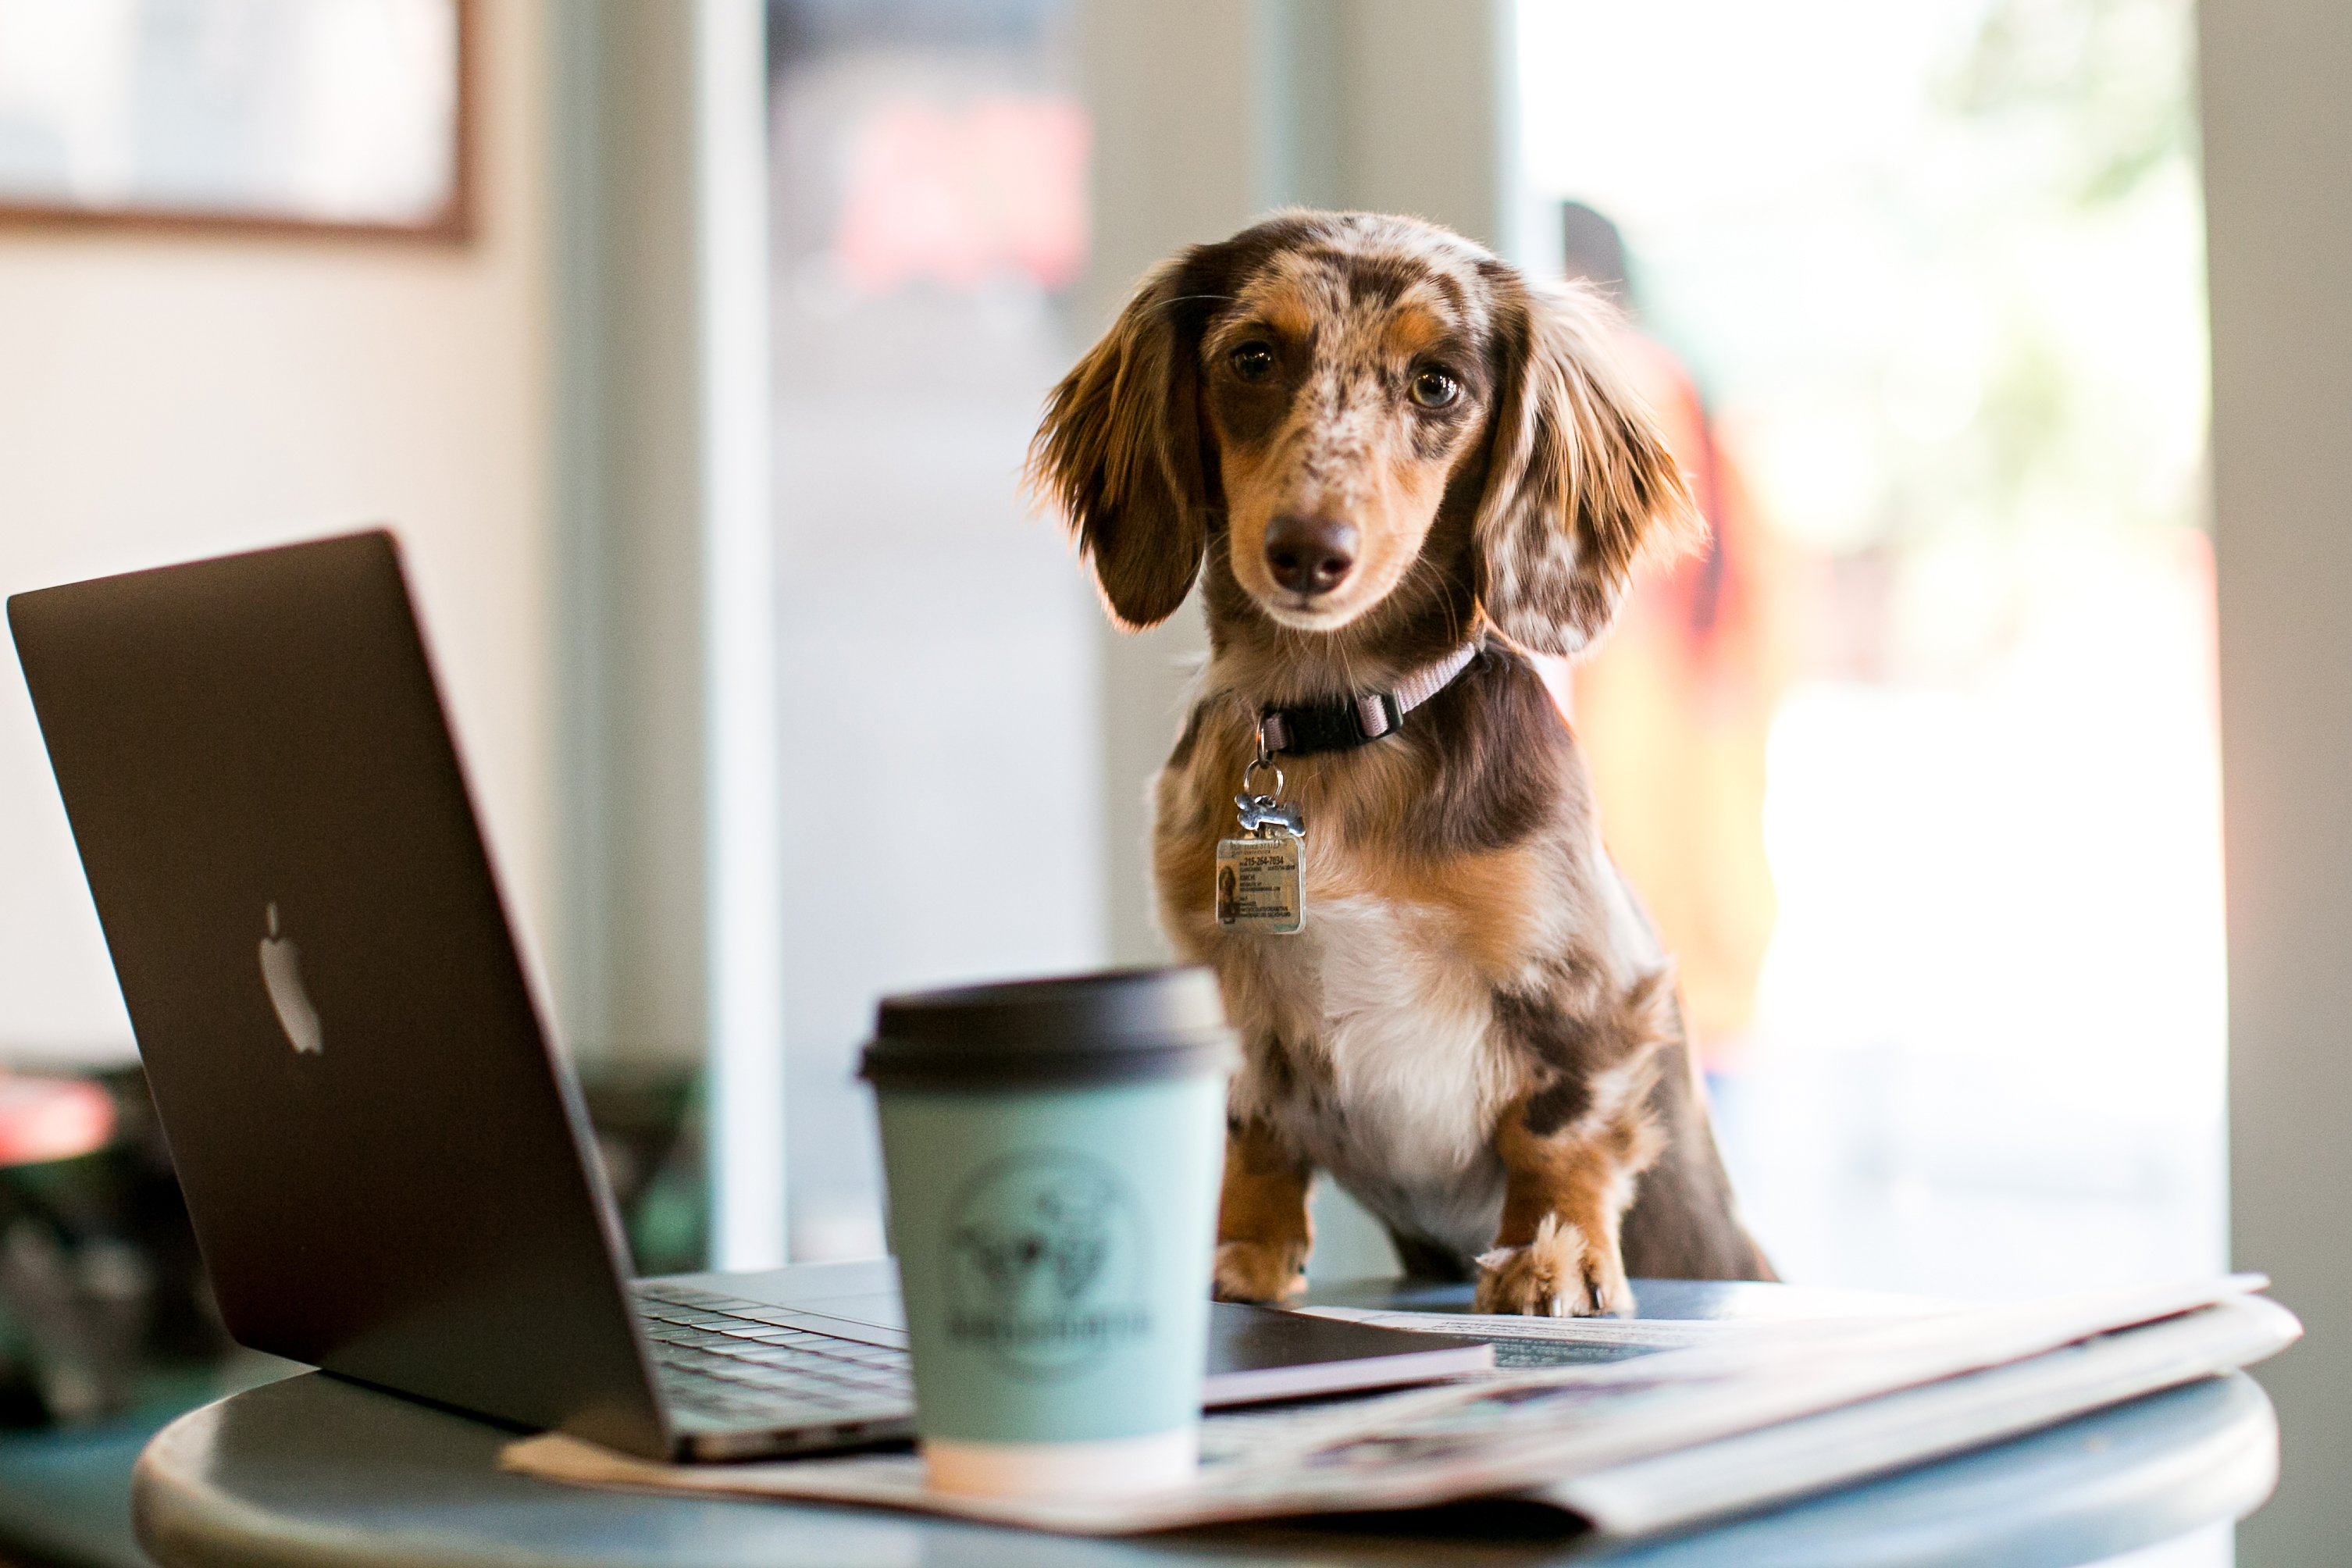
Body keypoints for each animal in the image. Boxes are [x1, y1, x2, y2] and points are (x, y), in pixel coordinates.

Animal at [1021, 208, 1769, 1316]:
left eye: (1438, 384)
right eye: (1253, 357)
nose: (1307, 551)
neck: (1343, 728)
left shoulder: (1598, 980)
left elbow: (1562, 1125)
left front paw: (1555, 1255)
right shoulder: (1230, 988)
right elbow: (1255, 1133)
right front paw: (1242, 1253)